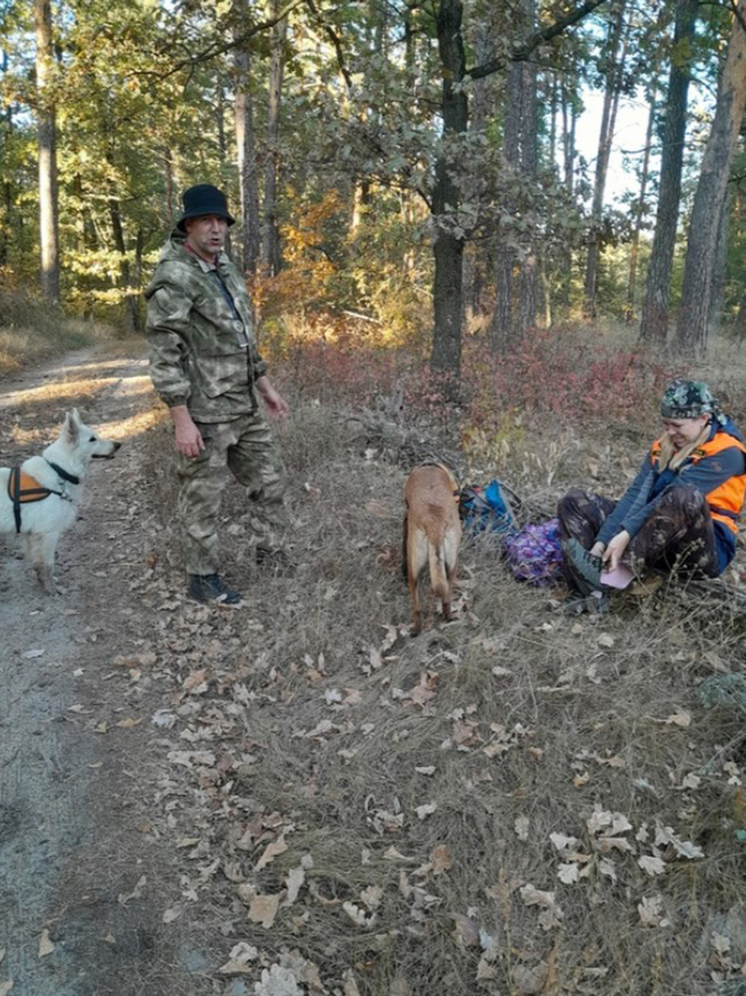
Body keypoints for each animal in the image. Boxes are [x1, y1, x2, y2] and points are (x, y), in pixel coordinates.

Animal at [0, 406, 119, 592]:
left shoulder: (32, 535)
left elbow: (38, 565)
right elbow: (48, 565)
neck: (60, 471)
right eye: (92, 439)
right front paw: (52, 590)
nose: (118, 444)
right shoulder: (48, 534)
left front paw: (45, 584)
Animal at [402, 464, 460, 636]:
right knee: (446, 599)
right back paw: (448, 618)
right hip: (451, 566)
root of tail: (435, 522)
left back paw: (416, 629)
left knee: (416, 607)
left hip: (414, 569)